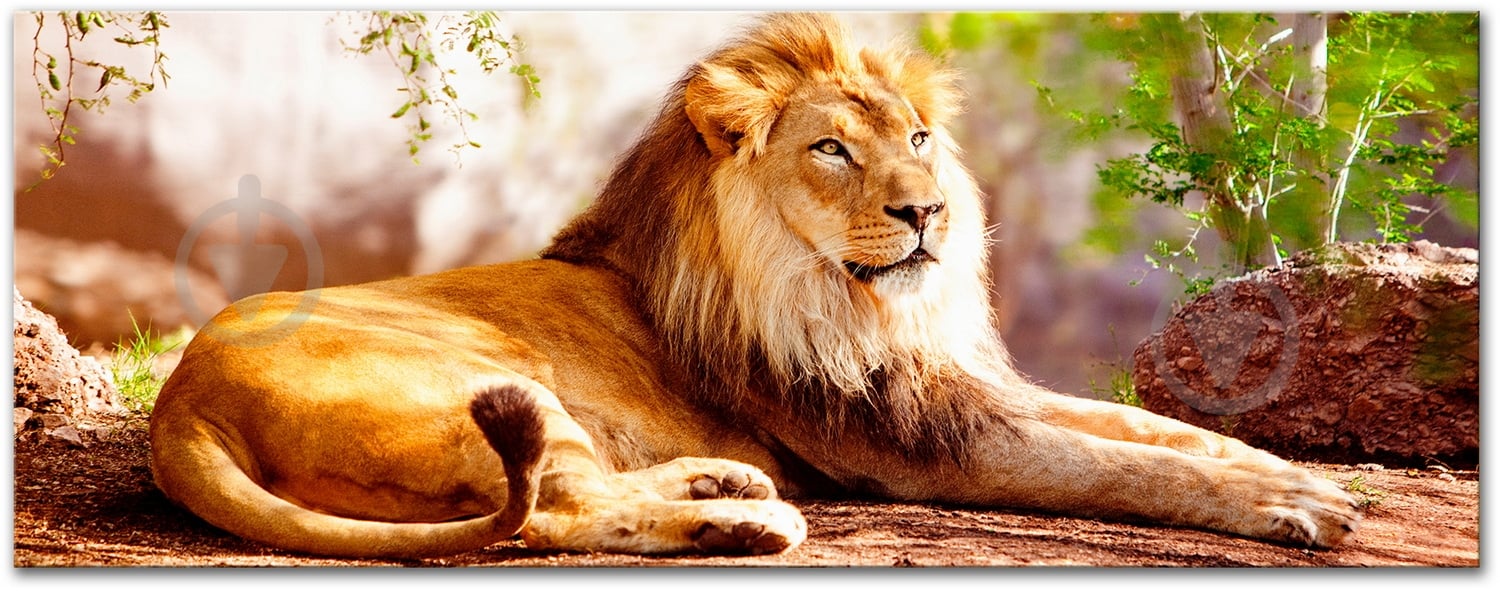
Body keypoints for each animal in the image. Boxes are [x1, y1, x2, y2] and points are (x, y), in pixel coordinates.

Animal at [148, 13, 1361, 559]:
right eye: (830, 150)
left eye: (921, 137)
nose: (929, 211)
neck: (850, 299)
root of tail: (179, 407)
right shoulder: (916, 441)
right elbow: (1116, 464)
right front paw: (1289, 505)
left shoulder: (951, 382)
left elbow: (1149, 427)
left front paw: (1292, 471)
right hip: (483, 384)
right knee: (549, 512)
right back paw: (749, 524)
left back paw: (724, 485)